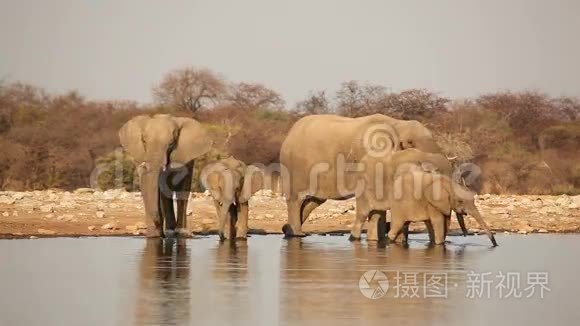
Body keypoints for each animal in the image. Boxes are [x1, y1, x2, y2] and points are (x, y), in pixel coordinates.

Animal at [280, 113, 440, 238]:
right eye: (410, 143)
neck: (396, 123)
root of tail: (290, 132)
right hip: (294, 167)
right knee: (296, 200)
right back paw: (296, 235)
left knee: (312, 202)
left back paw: (287, 230)